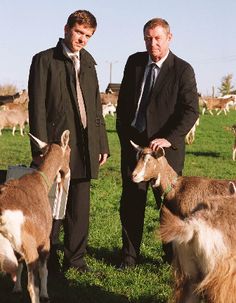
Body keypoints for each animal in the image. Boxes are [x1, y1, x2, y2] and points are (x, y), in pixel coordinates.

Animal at [0, 130, 70, 303]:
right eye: (69, 151)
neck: (39, 181)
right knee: (32, 286)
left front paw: (16, 288)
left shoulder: (17, 248)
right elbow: (43, 271)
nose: (67, 171)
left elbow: (19, 266)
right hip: (30, 247)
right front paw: (46, 294)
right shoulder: (43, 241)